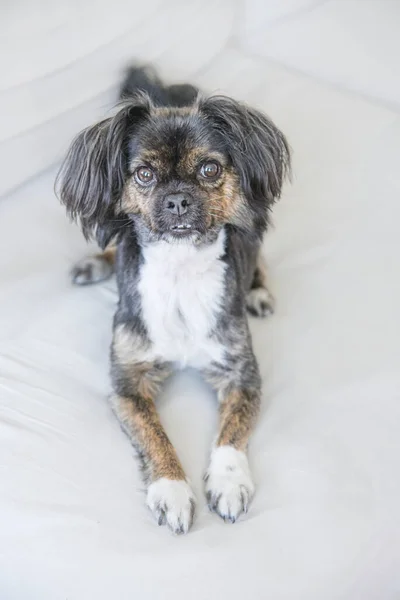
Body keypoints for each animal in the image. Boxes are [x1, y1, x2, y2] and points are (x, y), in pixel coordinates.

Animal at [56, 65, 290, 536]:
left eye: (209, 168)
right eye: (144, 174)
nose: (178, 199)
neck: (181, 271)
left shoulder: (243, 375)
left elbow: (231, 434)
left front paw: (229, 482)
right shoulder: (127, 384)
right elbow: (154, 435)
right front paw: (173, 490)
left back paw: (258, 291)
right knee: (115, 240)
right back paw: (94, 264)